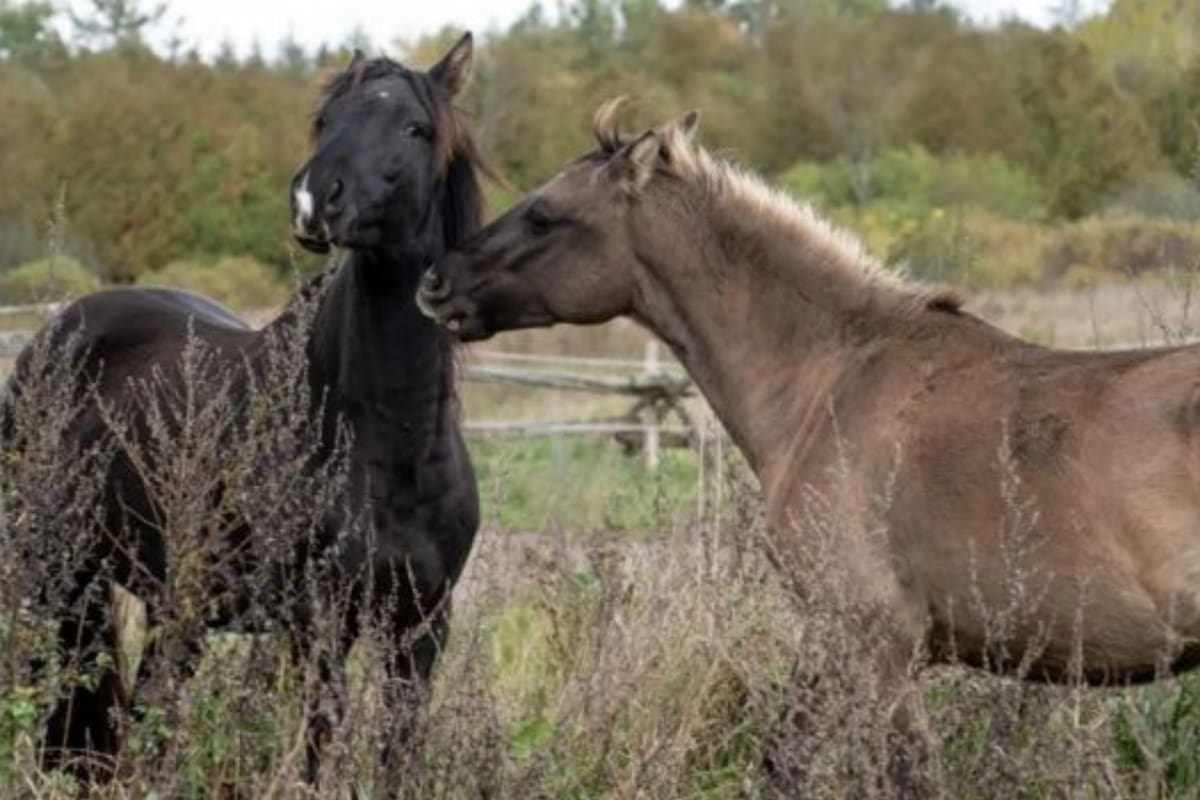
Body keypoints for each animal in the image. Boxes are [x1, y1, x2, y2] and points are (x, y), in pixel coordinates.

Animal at [2, 35, 483, 787]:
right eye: (325, 121)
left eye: (414, 128)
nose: (315, 200)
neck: (388, 446)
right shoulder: (317, 625)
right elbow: (320, 749)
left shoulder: (423, 626)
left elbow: (398, 755)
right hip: (56, 566)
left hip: (168, 599)